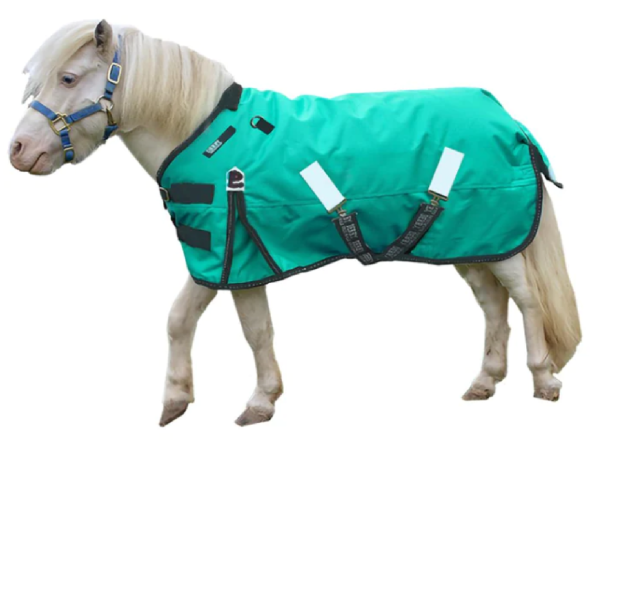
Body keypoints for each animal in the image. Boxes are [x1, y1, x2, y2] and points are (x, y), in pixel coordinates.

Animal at [8, 20, 582, 427]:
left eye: (67, 78)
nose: (18, 151)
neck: (203, 135)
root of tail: (509, 120)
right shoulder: (221, 257)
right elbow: (188, 320)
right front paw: (180, 399)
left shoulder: (234, 255)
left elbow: (249, 329)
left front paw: (256, 401)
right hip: (469, 243)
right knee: (492, 304)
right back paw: (485, 381)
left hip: (500, 238)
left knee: (527, 299)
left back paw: (544, 380)